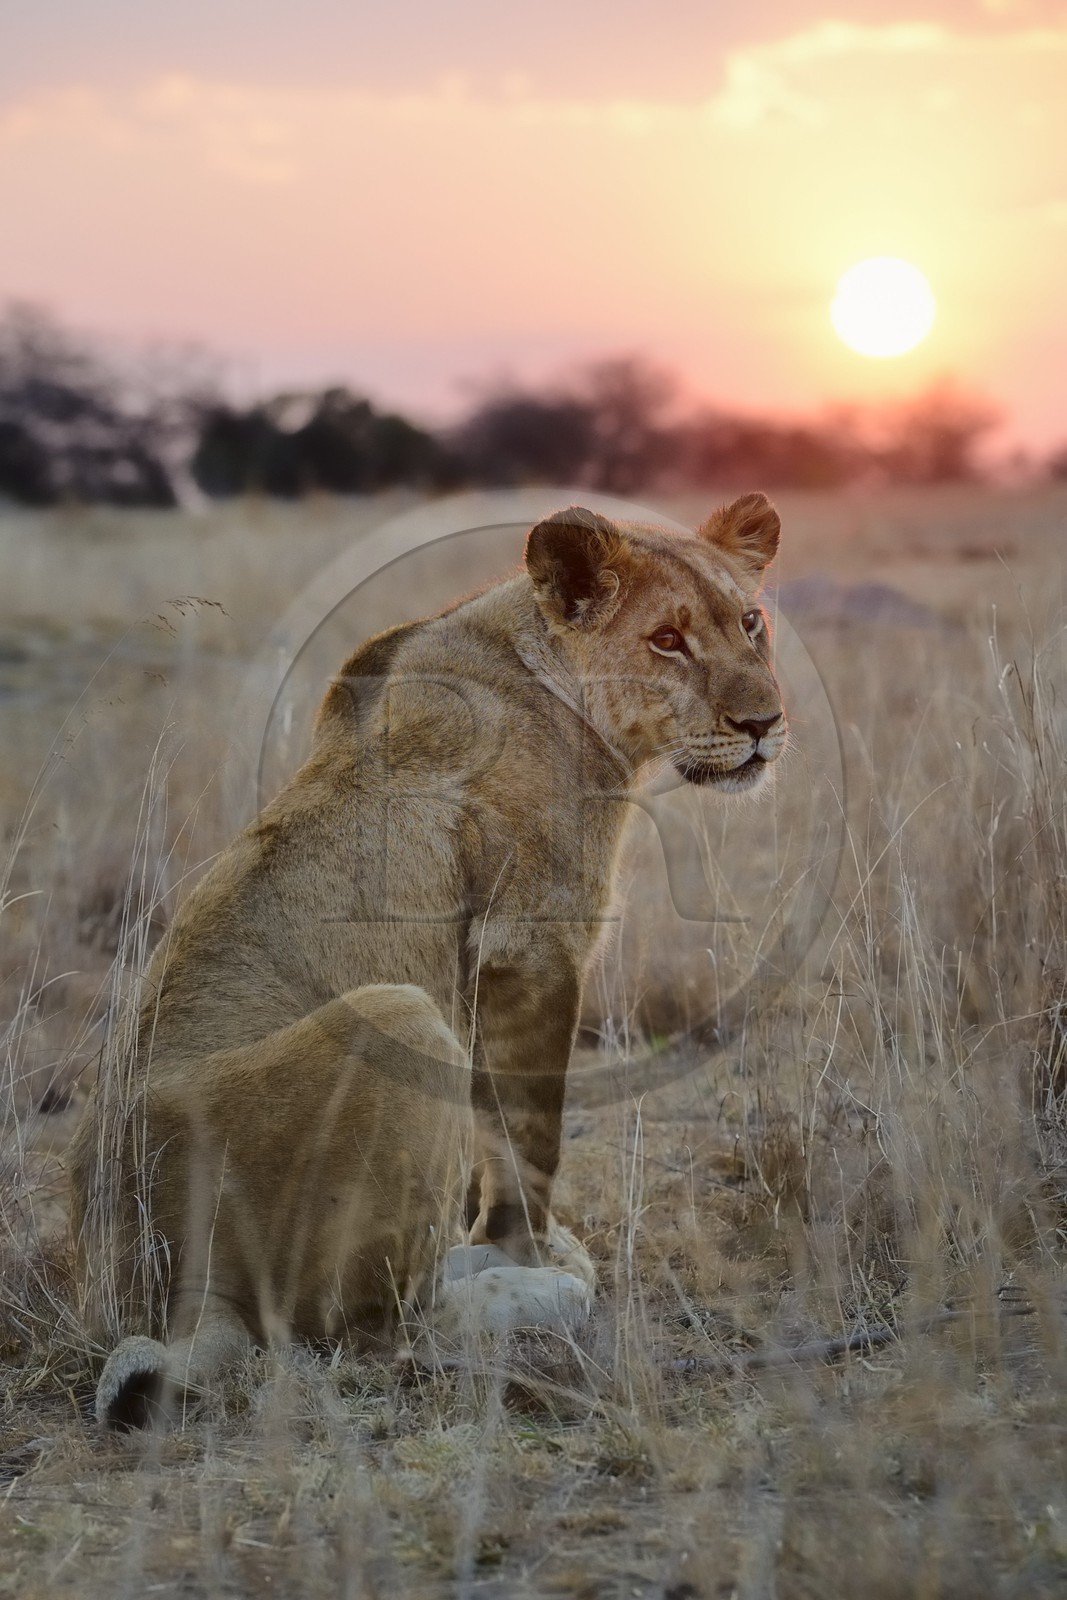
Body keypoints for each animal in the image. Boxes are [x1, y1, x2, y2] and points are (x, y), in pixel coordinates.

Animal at [67, 492, 786, 1428]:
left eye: (750, 623)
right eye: (666, 638)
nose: (764, 725)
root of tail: (174, 1277)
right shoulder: (531, 943)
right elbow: (527, 1140)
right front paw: (526, 1249)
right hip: (398, 1015)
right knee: (374, 1326)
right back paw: (537, 1290)